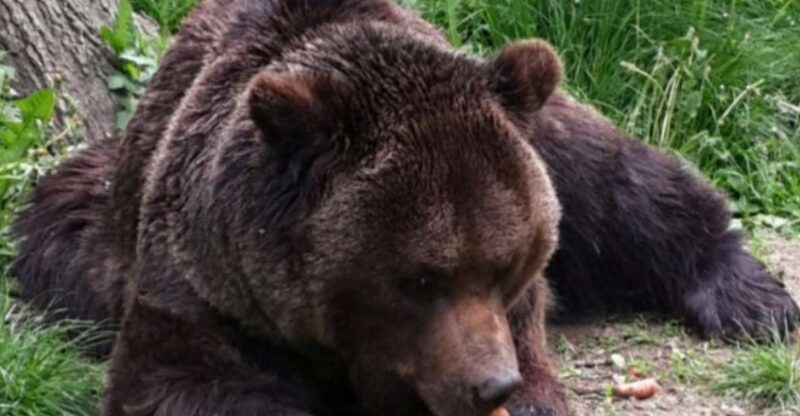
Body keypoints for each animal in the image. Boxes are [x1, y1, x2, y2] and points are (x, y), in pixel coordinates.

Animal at [11, 1, 798, 416]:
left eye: (506, 266)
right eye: (420, 278)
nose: (490, 383)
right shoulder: (206, 291)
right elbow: (186, 383)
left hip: (540, 125)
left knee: (621, 182)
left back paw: (751, 298)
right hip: (87, 235)